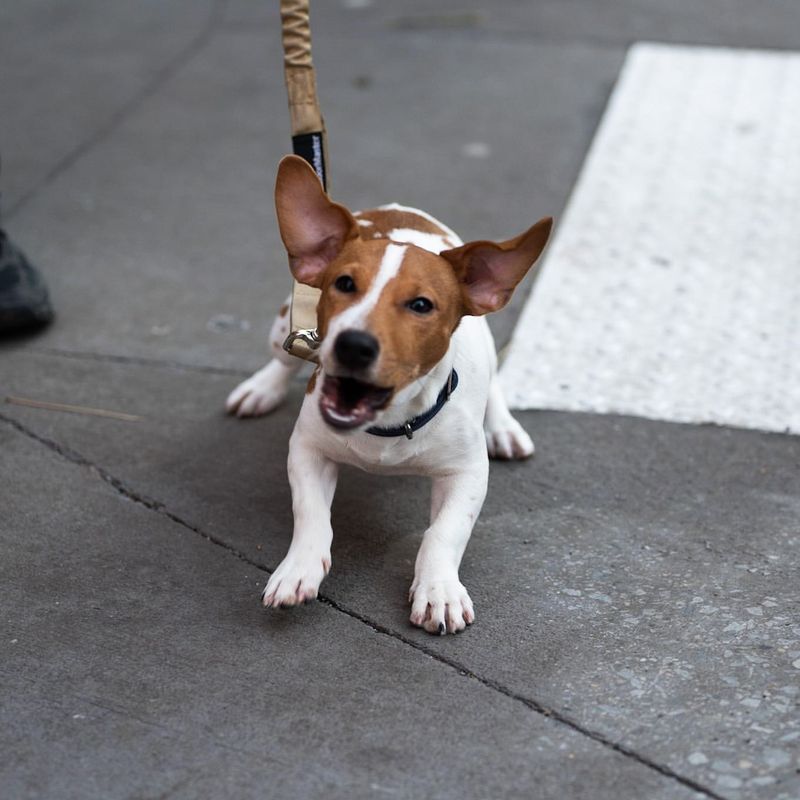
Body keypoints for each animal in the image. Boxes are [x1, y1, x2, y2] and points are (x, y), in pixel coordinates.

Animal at [225, 155, 552, 632]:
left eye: (421, 305)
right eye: (344, 283)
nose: (354, 344)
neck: (388, 424)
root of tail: (395, 211)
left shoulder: (467, 473)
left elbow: (444, 532)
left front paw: (438, 590)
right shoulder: (307, 449)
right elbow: (310, 514)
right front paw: (299, 567)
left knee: (495, 384)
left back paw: (504, 427)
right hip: (285, 320)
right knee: (284, 358)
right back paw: (260, 388)